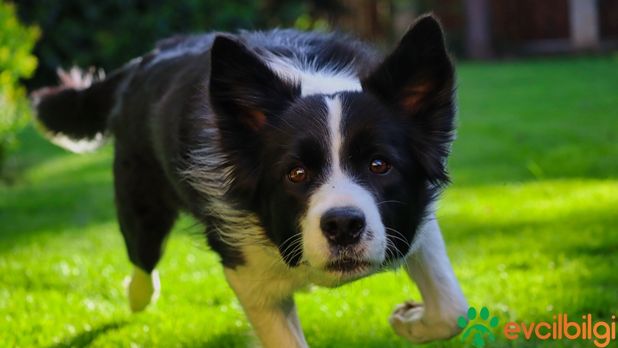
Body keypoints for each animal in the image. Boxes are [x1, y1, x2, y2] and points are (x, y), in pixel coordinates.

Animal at [33, 14, 464, 346]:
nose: (343, 226)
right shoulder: (247, 273)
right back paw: (138, 295)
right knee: (143, 260)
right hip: (141, 206)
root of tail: (144, 60)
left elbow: (452, 309)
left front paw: (410, 321)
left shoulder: (412, 219)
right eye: (296, 173)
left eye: (379, 165)